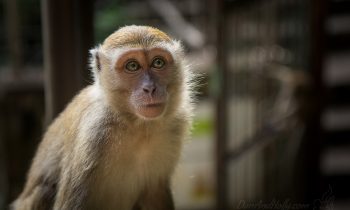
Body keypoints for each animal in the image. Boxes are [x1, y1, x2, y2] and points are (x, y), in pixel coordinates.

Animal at [10, 25, 196, 210]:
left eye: (158, 62)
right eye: (132, 66)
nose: (150, 88)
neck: (136, 125)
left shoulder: (175, 125)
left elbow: (155, 192)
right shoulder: (94, 133)